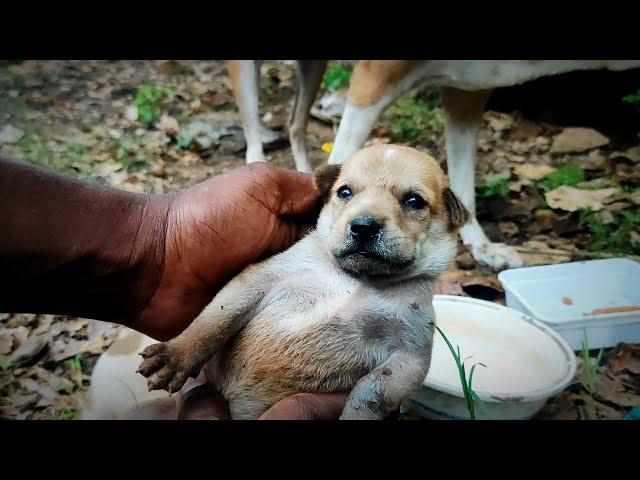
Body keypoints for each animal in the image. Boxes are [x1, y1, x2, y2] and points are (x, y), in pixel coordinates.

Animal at [82, 145, 468, 420]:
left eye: (414, 201)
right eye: (344, 192)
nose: (362, 227)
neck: (356, 281)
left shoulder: (409, 355)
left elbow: (372, 393)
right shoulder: (257, 280)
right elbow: (213, 321)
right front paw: (177, 355)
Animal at [230, 60, 640, 270]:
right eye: (345, 193)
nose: (363, 228)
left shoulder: (469, 89)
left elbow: (462, 183)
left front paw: (480, 244)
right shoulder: (371, 81)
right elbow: (346, 157)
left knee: (295, 125)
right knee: (254, 131)